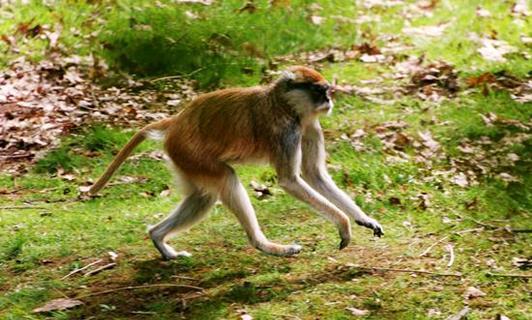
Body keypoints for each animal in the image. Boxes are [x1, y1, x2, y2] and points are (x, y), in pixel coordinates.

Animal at [89, 65, 384, 260]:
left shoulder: (310, 126)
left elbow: (315, 174)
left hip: (184, 158)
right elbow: (290, 181)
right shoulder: (285, 131)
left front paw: (364, 219)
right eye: (318, 91)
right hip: (189, 152)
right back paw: (265, 245)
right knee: (226, 179)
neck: (282, 102)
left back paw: (158, 239)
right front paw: (344, 225)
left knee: (203, 196)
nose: (329, 100)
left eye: (326, 91)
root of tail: (177, 121)